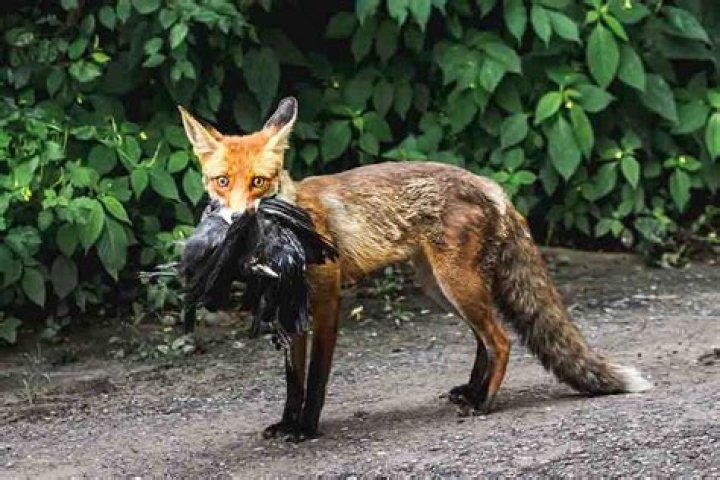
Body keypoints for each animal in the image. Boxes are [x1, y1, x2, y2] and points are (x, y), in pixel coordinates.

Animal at [178, 97, 652, 441]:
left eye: (259, 182)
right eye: (222, 181)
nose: (238, 218)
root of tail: (492, 186)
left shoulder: (328, 301)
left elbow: (316, 378)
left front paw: (308, 429)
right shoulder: (291, 308)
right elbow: (293, 381)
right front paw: (288, 424)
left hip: (456, 284)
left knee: (500, 341)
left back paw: (483, 403)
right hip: (440, 287)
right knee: (484, 339)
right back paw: (471, 391)